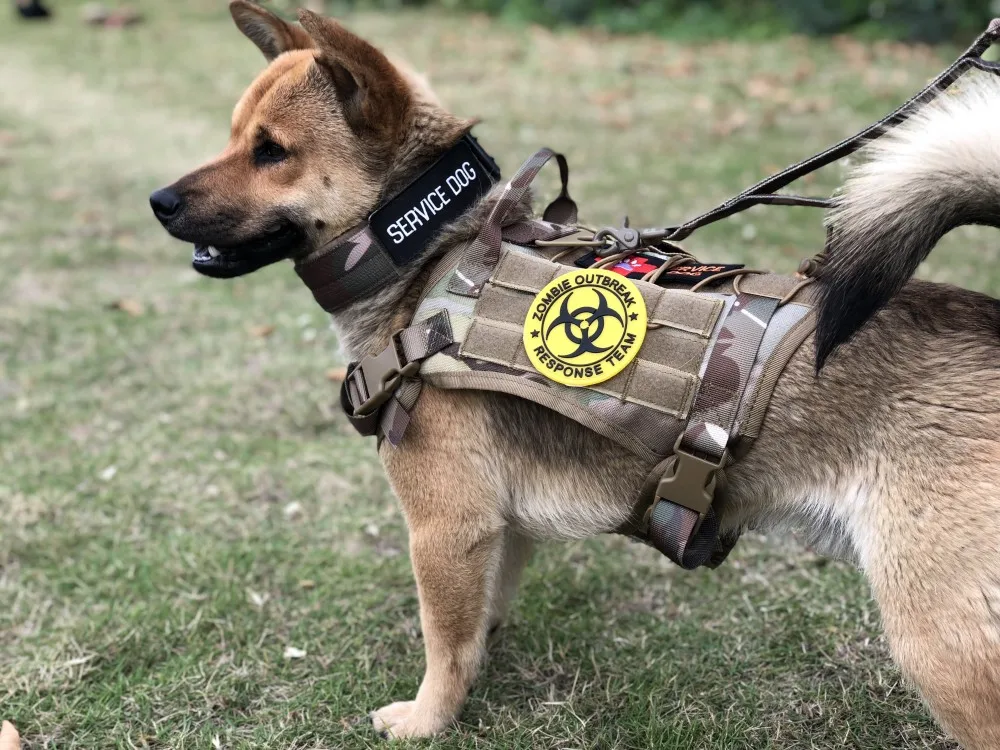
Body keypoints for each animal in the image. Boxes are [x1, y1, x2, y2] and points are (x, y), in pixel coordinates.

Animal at [150, 3, 1000, 745]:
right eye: (236, 137)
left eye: (271, 151)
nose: (158, 200)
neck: (429, 259)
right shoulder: (497, 526)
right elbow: (476, 619)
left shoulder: (445, 526)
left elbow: (443, 640)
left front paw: (428, 719)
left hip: (942, 645)